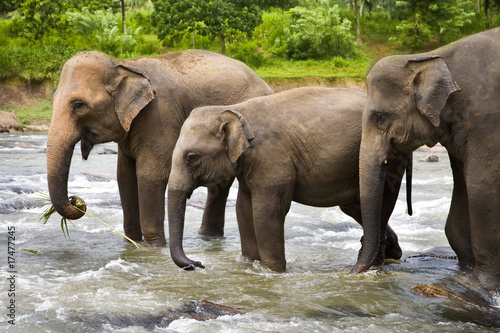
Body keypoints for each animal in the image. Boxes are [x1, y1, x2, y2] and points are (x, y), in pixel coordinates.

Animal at [47, 50, 274, 246]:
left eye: (79, 105)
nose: (74, 199)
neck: (124, 64)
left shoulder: (160, 115)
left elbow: (150, 174)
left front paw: (153, 247)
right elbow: (125, 177)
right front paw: (131, 243)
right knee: (220, 184)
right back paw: (208, 237)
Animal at [167, 87, 410, 272]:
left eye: (191, 157)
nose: (198, 263)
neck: (239, 109)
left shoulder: (272, 158)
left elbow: (267, 211)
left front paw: (273, 271)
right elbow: (243, 207)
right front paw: (249, 264)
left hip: (388, 155)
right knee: (356, 205)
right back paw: (393, 252)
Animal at [352, 26, 500, 290]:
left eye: (379, 117)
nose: (352, 271)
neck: (429, 57)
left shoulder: (488, 120)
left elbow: (480, 186)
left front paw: (479, 284)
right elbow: (461, 188)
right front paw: (464, 272)